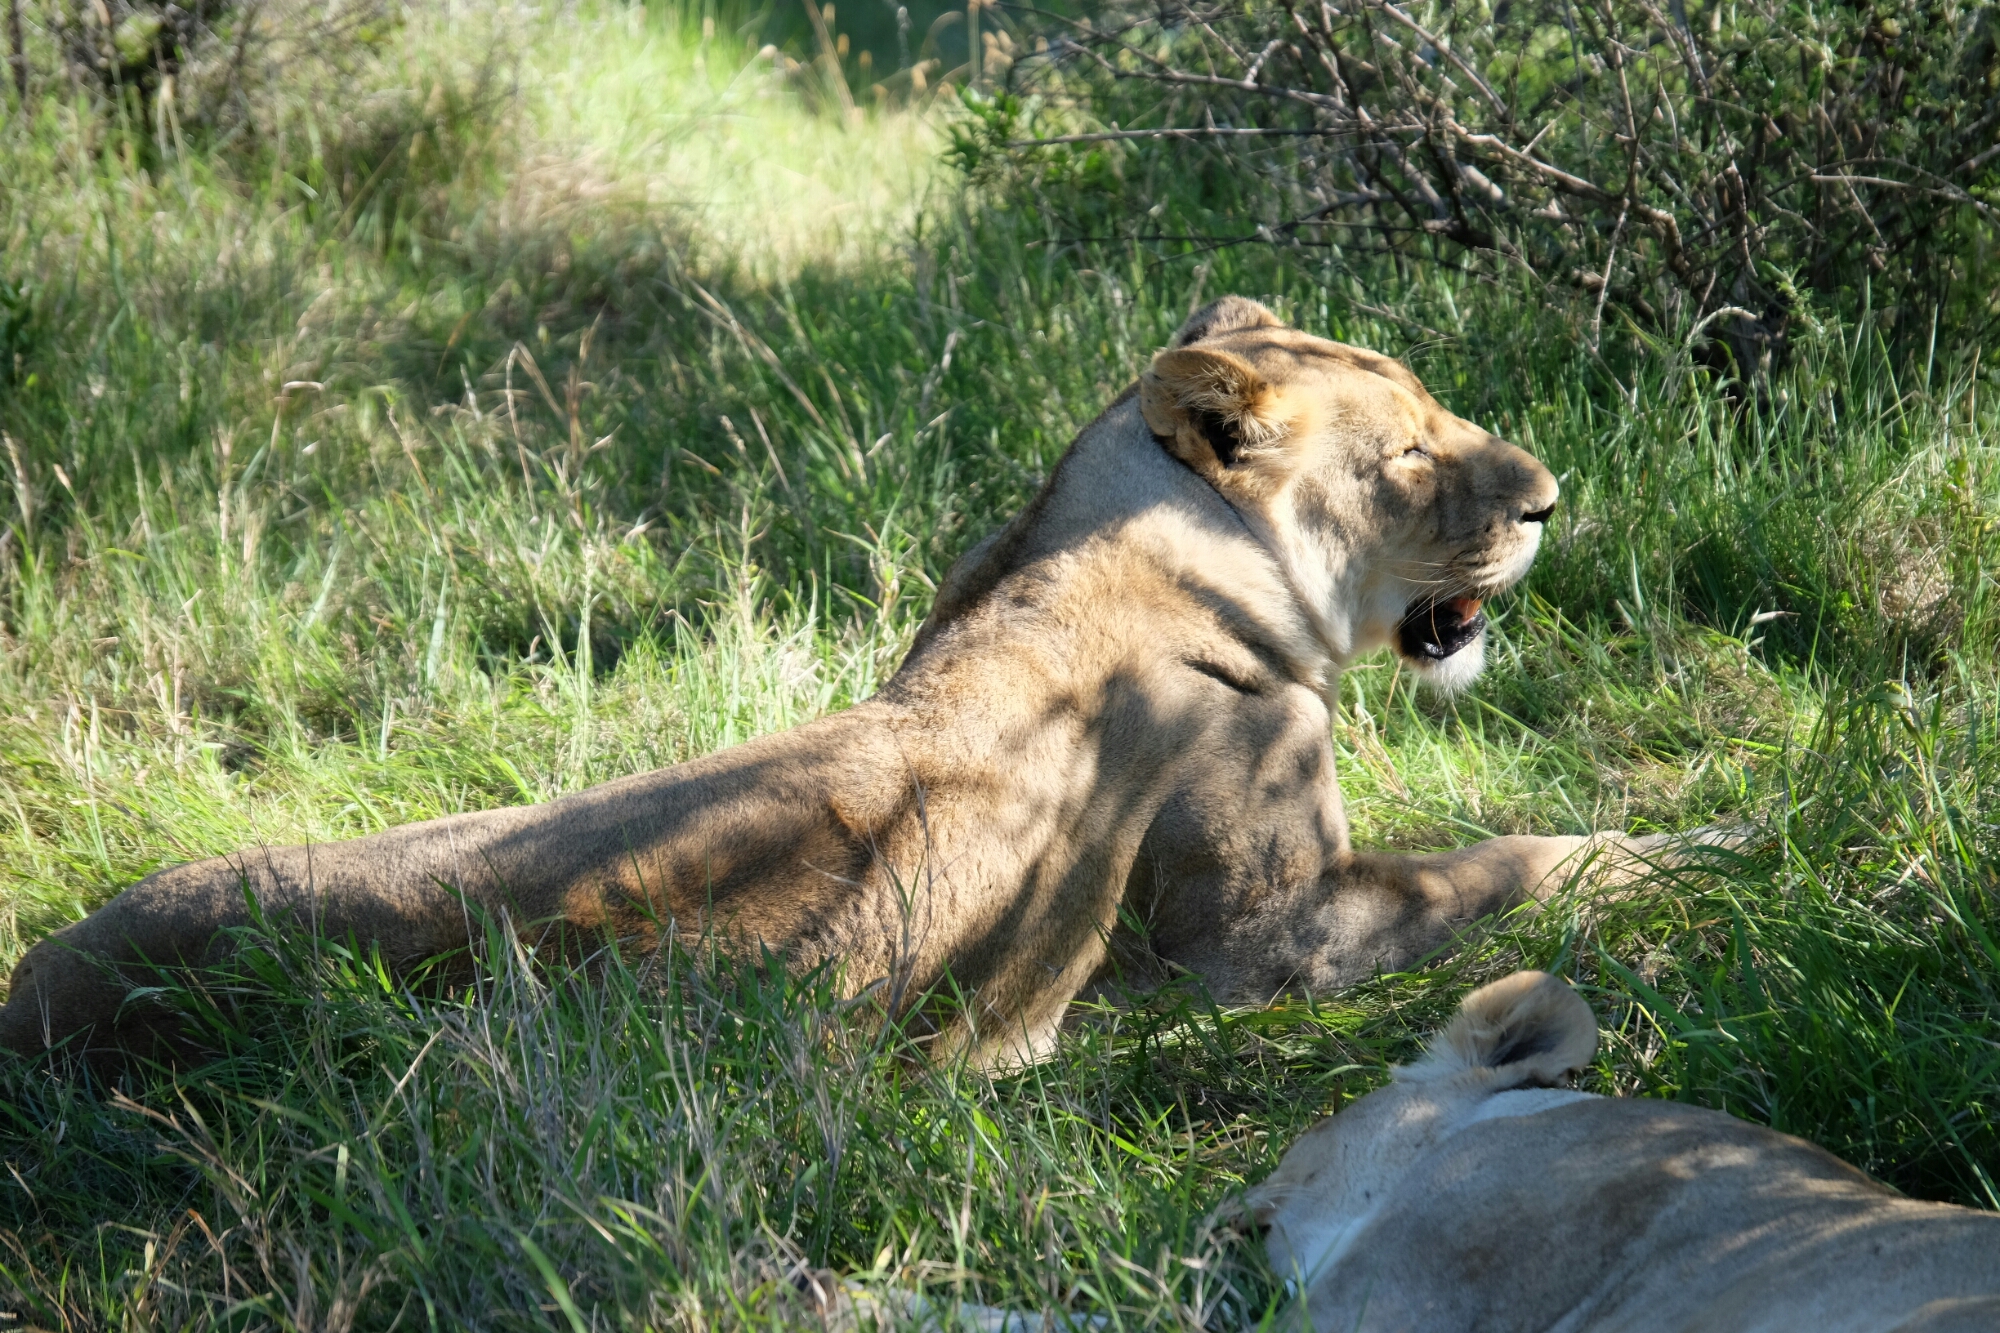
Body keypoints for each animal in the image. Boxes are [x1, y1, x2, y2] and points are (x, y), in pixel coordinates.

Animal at [2, 297, 1683, 1068]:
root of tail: (34, 1000)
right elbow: (1514, 858)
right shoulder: (1269, 937)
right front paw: (1694, 849)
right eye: (1407, 456)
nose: (1552, 500)